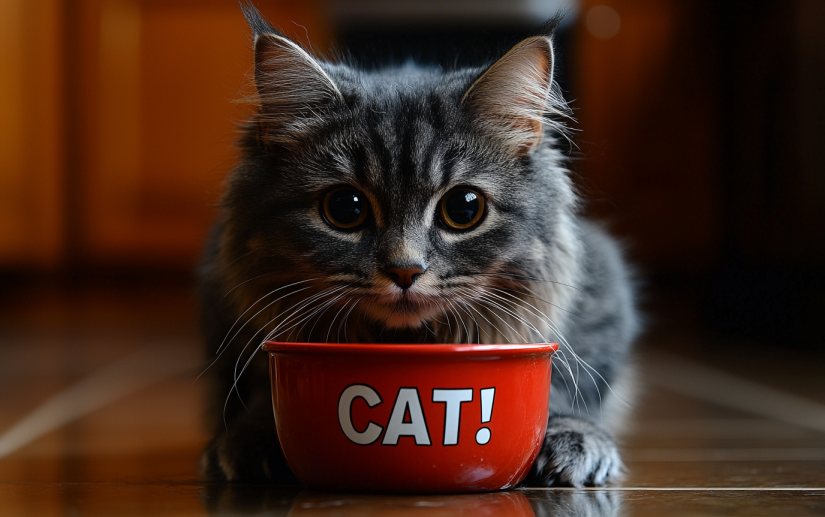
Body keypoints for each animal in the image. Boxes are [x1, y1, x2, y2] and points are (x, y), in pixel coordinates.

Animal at [198, 4, 636, 486]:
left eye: (464, 208)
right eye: (345, 208)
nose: (404, 270)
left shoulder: (599, 293)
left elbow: (569, 380)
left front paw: (571, 435)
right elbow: (258, 383)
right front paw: (255, 435)